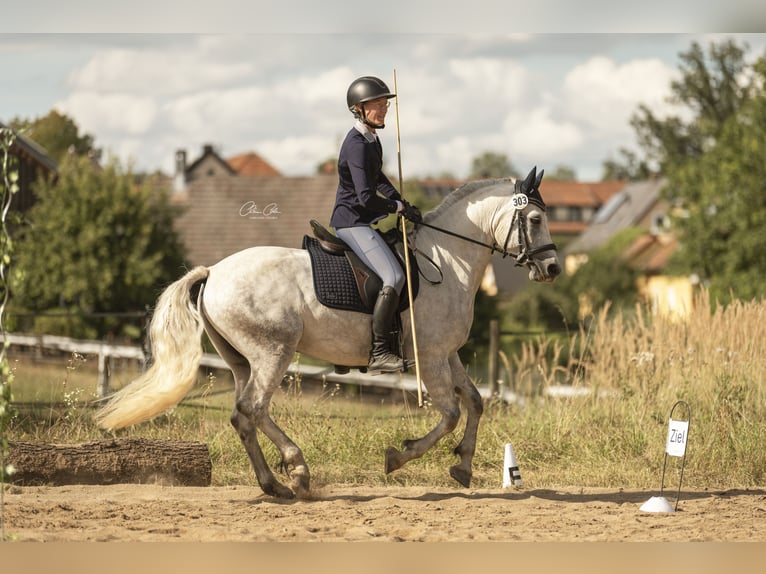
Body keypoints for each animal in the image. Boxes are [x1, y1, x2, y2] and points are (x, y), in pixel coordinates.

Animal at [96, 166, 564, 500]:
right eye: (535, 218)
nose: (553, 268)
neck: (447, 261)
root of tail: (212, 271)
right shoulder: (431, 356)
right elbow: (449, 414)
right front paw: (397, 457)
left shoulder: (447, 353)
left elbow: (476, 402)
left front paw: (463, 466)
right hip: (272, 353)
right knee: (254, 409)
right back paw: (298, 472)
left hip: (241, 361)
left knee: (241, 415)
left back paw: (273, 484)